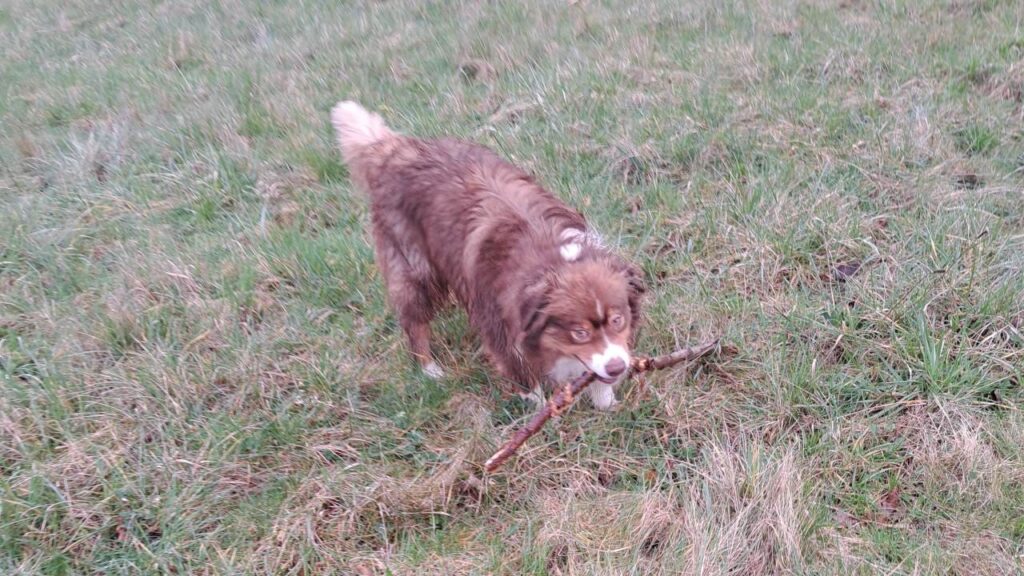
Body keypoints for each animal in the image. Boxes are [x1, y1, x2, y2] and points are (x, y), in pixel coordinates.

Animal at [331, 101, 643, 407]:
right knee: (413, 319)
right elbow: (524, 376)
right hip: (415, 267)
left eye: (618, 320)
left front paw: (607, 405)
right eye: (579, 333)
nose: (618, 367)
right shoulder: (500, 326)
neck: (555, 257)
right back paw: (429, 368)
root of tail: (394, 149)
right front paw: (538, 412)